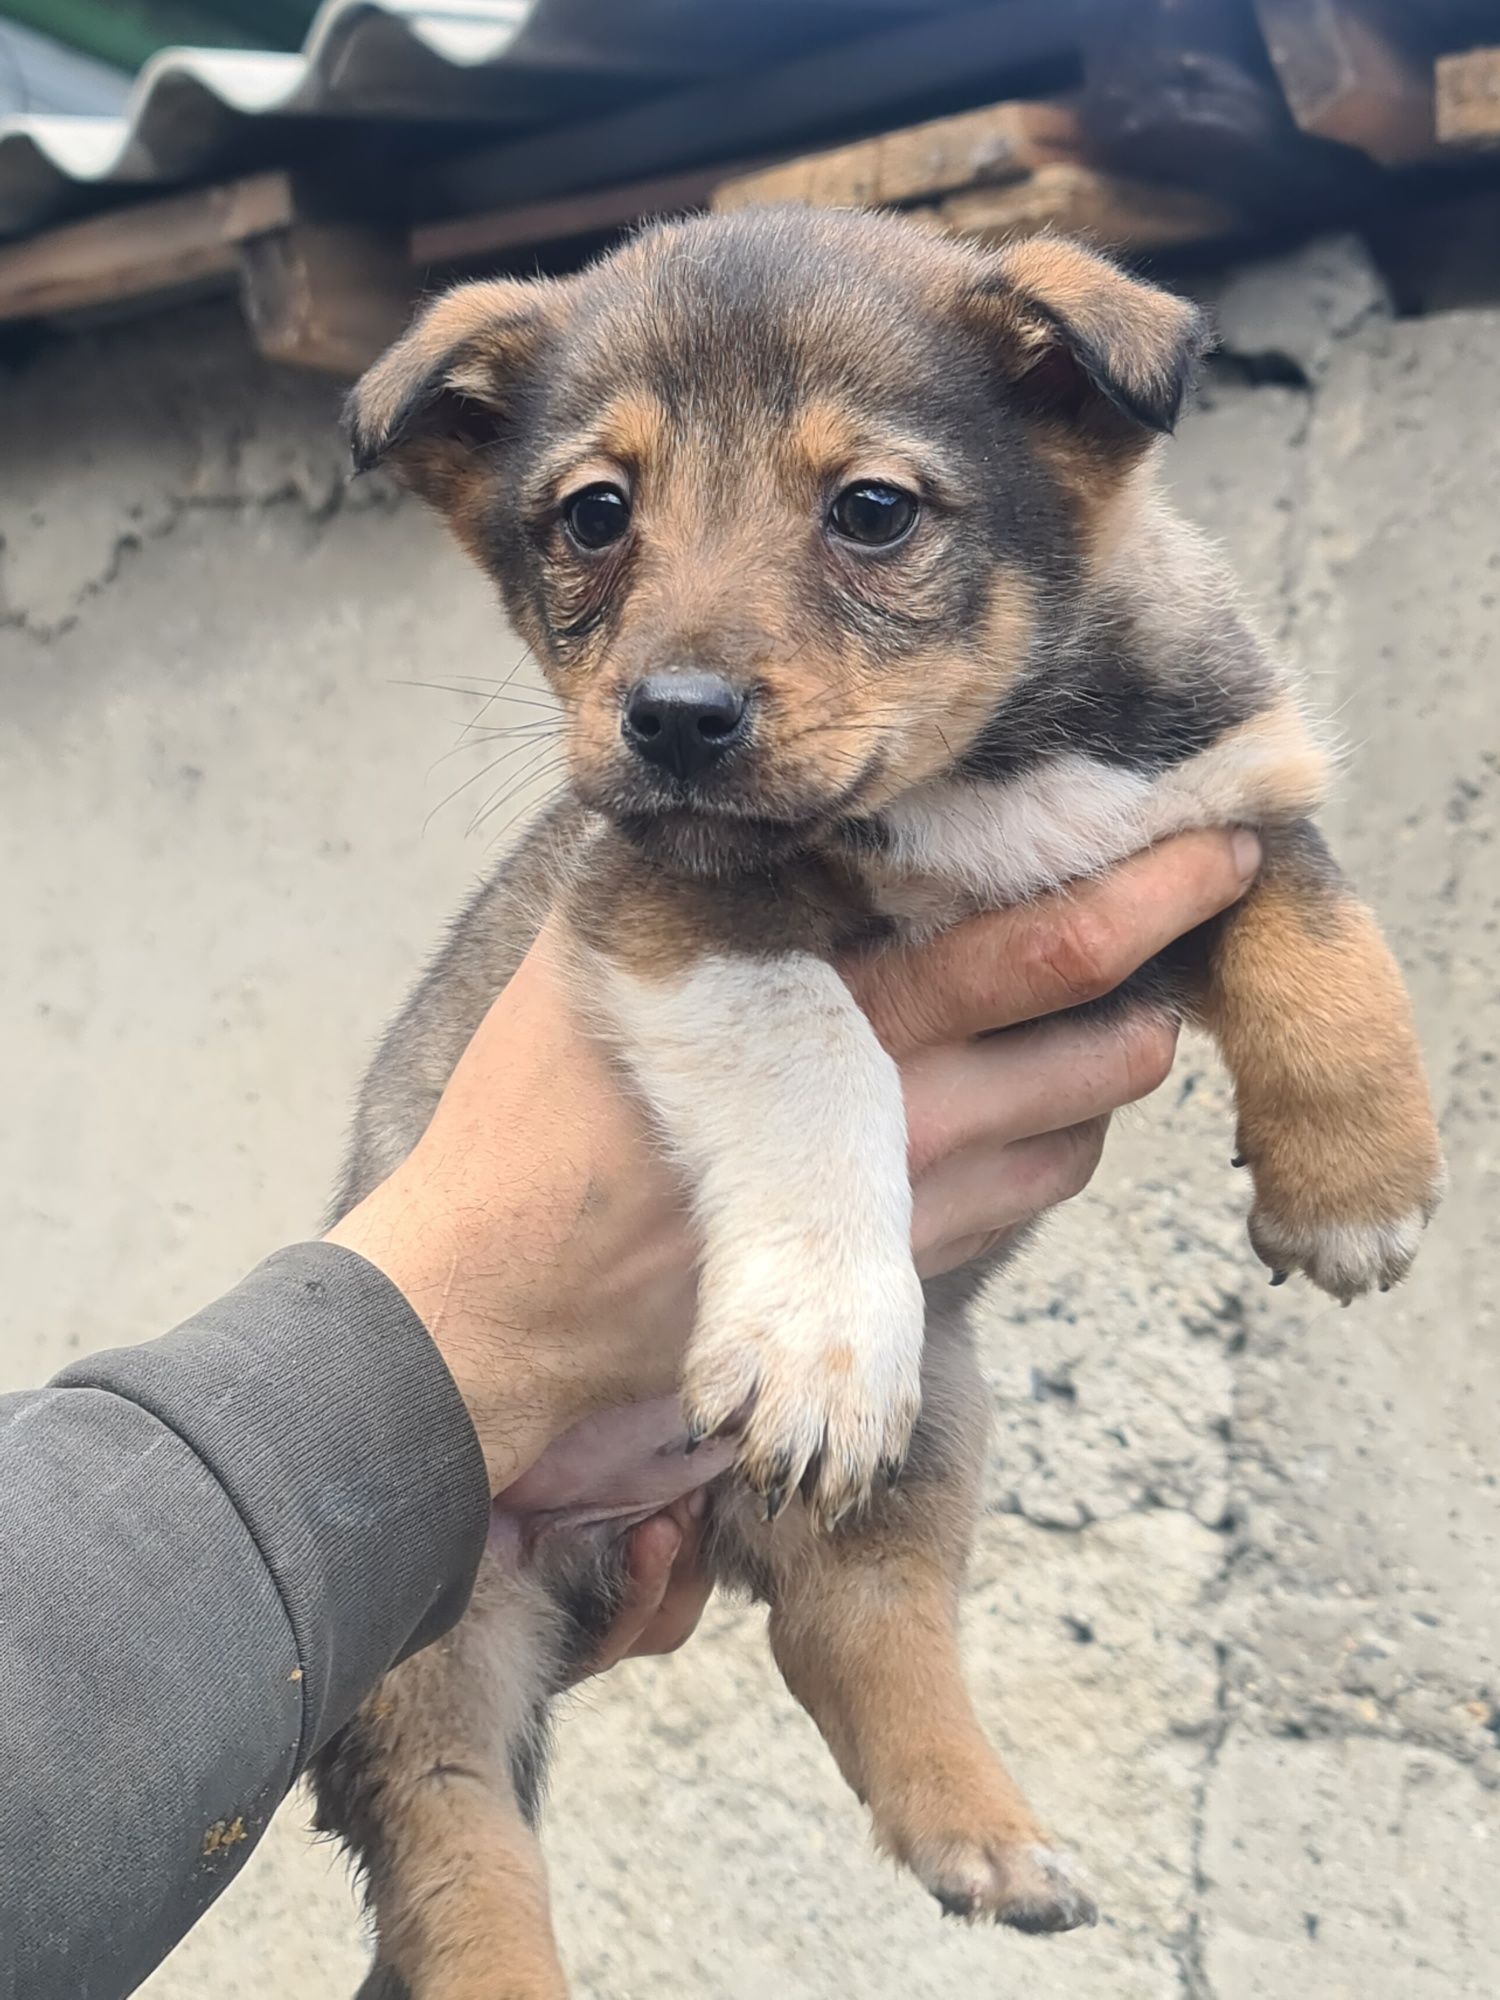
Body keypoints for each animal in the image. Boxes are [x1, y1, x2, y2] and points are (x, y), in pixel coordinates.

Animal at [314, 207, 1448, 2000]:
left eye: (872, 510)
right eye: (595, 514)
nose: (671, 723)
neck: (973, 774)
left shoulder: (1213, 807)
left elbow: (1325, 933)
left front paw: (1355, 1184)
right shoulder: (670, 906)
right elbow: (820, 1046)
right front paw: (820, 1340)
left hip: (942, 1428)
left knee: (847, 1624)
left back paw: (979, 1833)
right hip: (426, 1633)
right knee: (455, 1840)